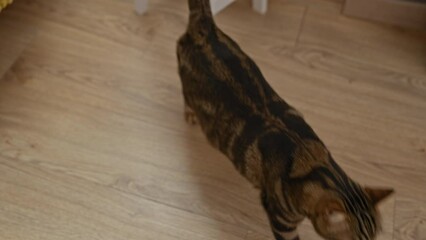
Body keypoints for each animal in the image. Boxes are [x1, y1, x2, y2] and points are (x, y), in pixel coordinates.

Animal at [176, 0, 392, 239]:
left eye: (375, 235)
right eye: (356, 239)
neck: (315, 164)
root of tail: (205, 27)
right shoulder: (281, 220)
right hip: (187, 84)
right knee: (186, 96)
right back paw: (190, 113)